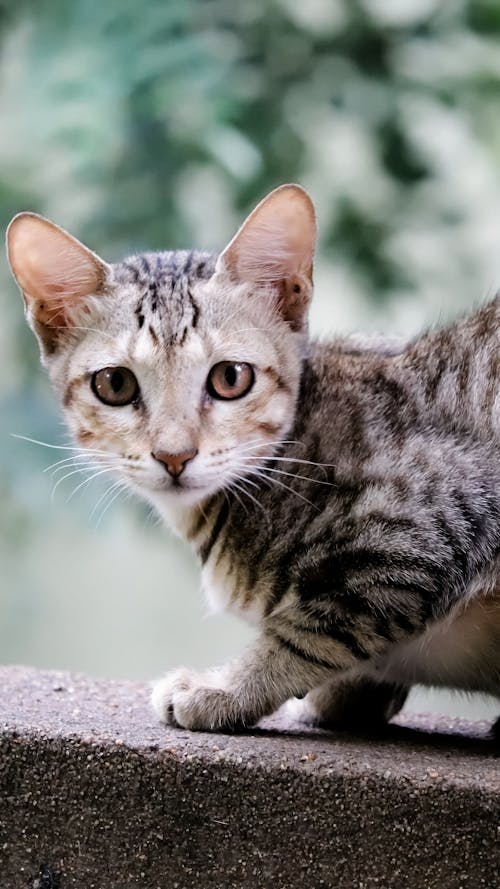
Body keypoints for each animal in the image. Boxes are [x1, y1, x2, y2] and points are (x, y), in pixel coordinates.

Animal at [5, 184, 500, 732]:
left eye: (231, 377)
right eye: (115, 384)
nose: (174, 454)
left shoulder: (428, 519)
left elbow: (317, 628)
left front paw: (223, 689)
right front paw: (350, 695)